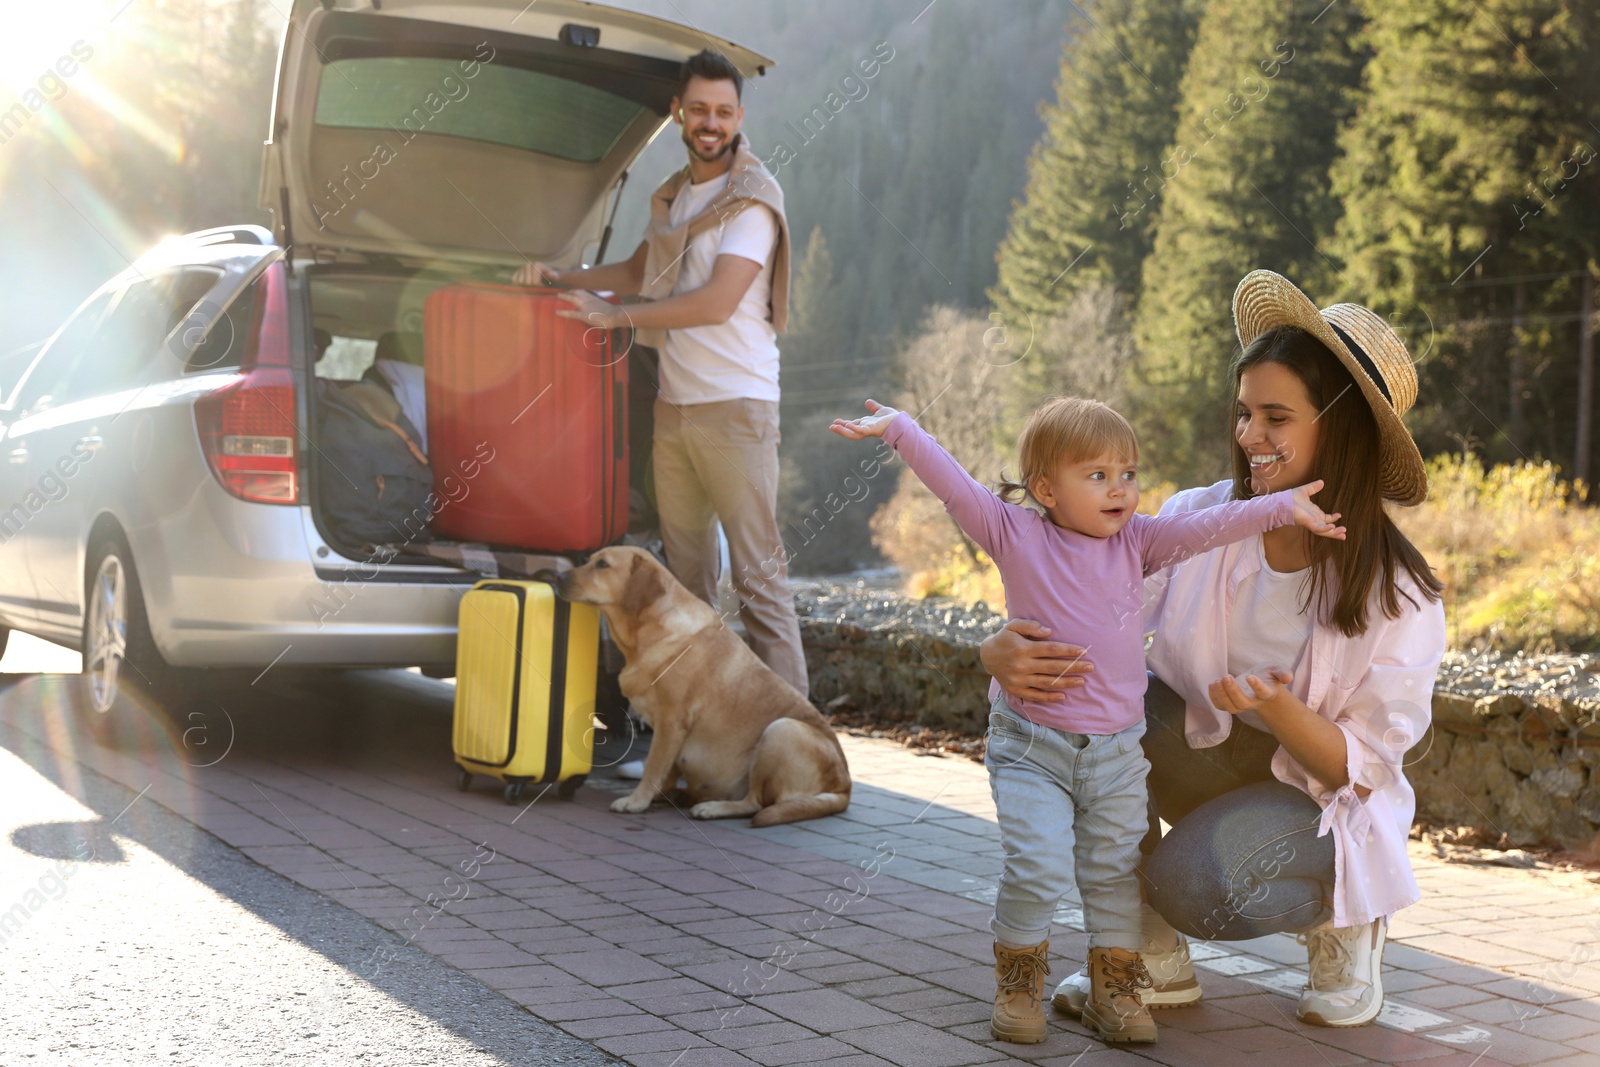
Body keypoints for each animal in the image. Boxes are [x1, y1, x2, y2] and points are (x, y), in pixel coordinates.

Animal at [556, 547, 851, 831]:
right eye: (589, 560)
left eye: (603, 565)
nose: (558, 577)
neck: (647, 632)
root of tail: (844, 786)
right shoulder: (667, 731)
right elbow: (666, 770)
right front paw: (658, 796)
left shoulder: (672, 721)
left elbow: (653, 766)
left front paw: (636, 801)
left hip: (781, 730)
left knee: (755, 802)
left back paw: (712, 807)